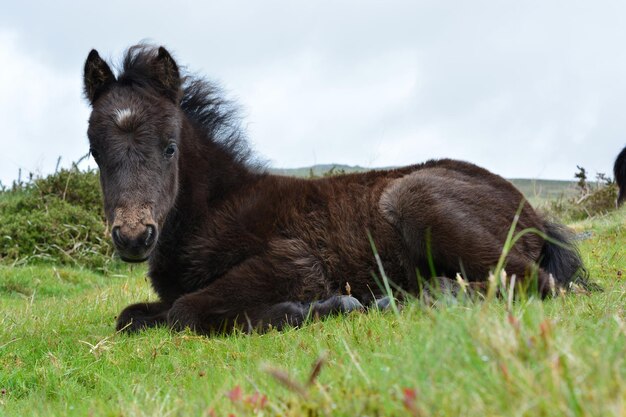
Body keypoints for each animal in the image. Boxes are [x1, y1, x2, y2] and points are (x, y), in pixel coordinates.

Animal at [84, 44, 588, 334]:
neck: (215, 208)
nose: (133, 238)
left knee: (533, 283)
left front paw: (326, 306)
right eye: (94, 152)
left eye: (170, 148)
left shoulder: (294, 262)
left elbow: (186, 312)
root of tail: (532, 212)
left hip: (417, 200)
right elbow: (131, 317)